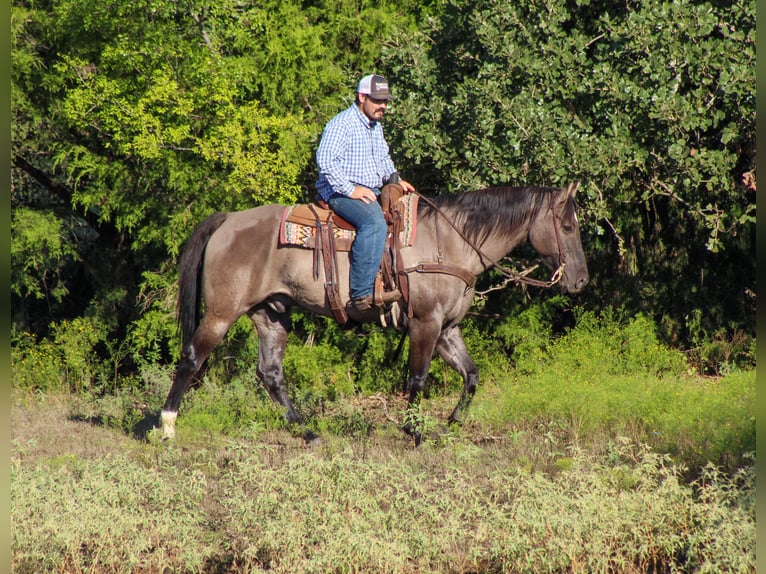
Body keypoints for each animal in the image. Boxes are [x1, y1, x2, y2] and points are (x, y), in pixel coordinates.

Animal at [160, 182, 589, 443]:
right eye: (567, 226)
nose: (582, 280)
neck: (448, 242)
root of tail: (228, 220)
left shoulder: (447, 328)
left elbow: (471, 375)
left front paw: (451, 423)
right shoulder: (425, 322)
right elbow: (417, 378)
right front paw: (414, 432)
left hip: (271, 315)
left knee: (270, 373)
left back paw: (307, 431)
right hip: (222, 313)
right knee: (192, 358)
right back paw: (166, 426)